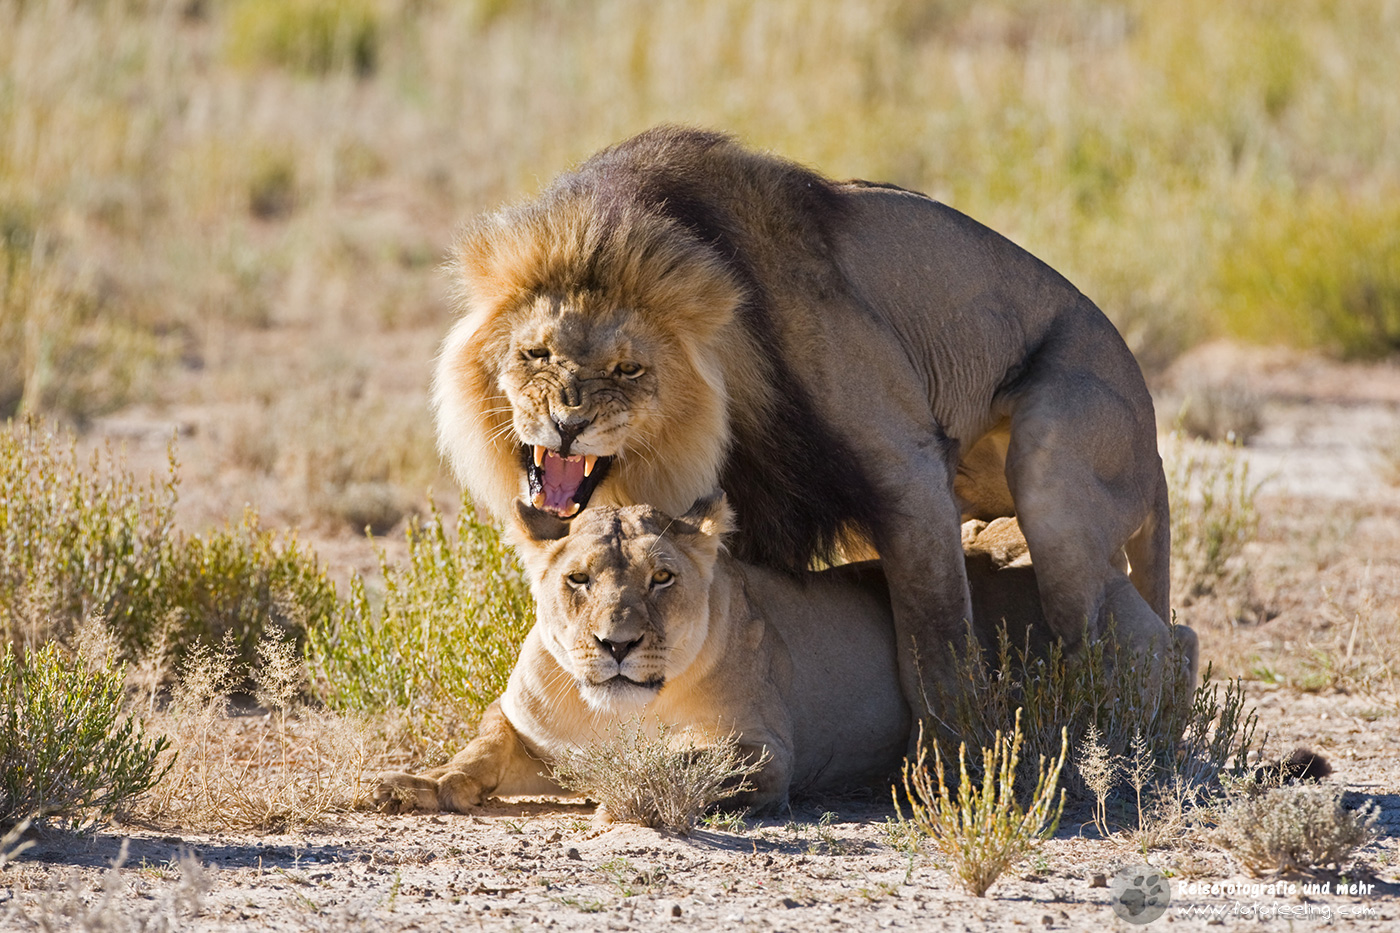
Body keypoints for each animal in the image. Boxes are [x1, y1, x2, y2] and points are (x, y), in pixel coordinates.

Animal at [375, 496, 912, 816]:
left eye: (662, 578)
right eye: (579, 578)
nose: (617, 643)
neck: (617, 714)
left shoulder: (767, 749)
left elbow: (688, 759)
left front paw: (628, 789)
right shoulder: (523, 727)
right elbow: (479, 749)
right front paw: (417, 782)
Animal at [432, 125, 1174, 717]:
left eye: (628, 369)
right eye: (536, 354)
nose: (566, 424)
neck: (719, 423)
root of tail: (1157, 437)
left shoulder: (908, 470)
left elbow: (935, 641)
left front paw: (957, 761)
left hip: (1055, 461)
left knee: (1140, 631)